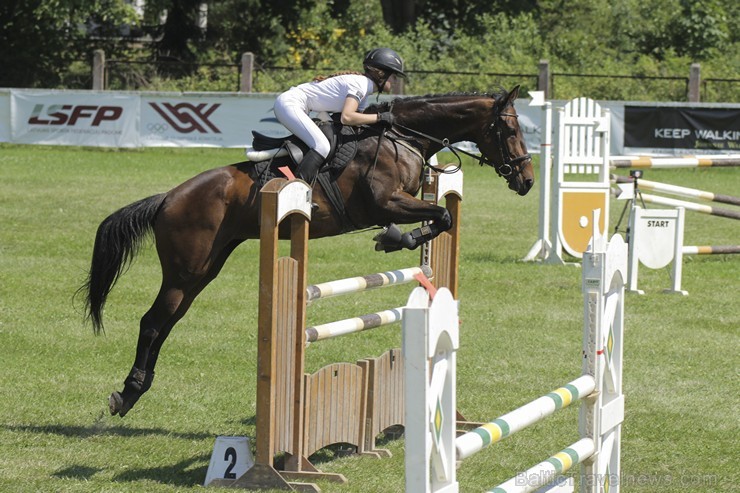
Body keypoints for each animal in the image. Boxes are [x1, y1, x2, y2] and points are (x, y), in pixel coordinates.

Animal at [79, 84, 532, 416]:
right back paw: (127, 393)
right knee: (152, 322)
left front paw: (396, 239)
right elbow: (441, 216)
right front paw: (394, 239)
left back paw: (135, 390)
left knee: (168, 321)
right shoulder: (385, 201)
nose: (526, 180)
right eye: (511, 131)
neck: (401, 139)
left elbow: (442, 218)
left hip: (204, 269)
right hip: (185, 269)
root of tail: (168, 198)